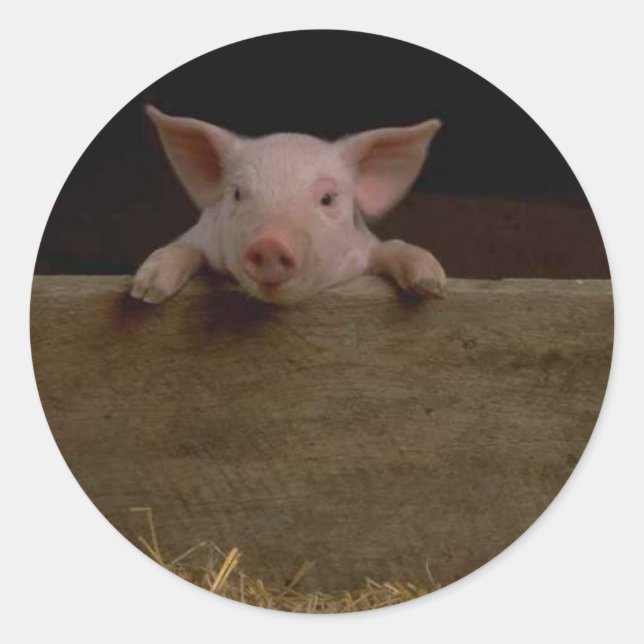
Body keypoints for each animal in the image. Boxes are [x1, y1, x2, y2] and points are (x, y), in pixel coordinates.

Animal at [130, 105, 446, 305]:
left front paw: (433, 286)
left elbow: (391, 247)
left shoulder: (365, 249)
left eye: (327, 198)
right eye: (237, 194)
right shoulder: (202, 235)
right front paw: (145, 292)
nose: (270, 243)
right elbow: (185, 247)